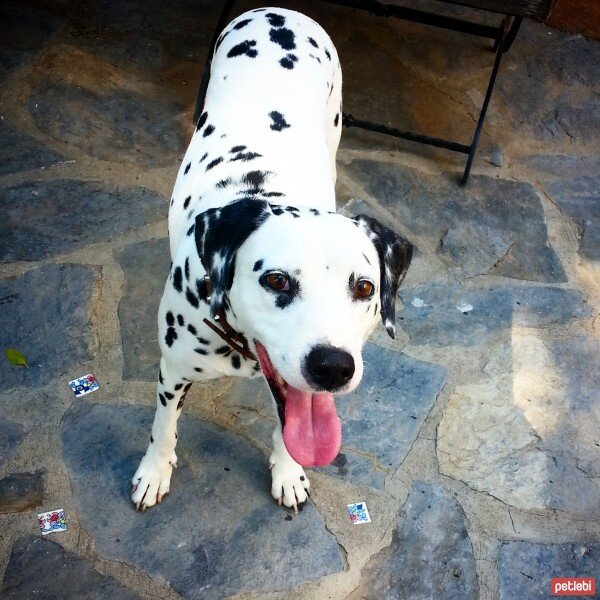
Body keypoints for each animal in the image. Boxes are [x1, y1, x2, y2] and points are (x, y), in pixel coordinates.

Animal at [131, 5, 412, 510]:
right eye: (276, 280)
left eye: (364, 287)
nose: (332, 366)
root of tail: (278, 11)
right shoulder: (173, 371)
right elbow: (163, 426)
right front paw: (154, 471)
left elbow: (290, 427)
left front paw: (288, 471)